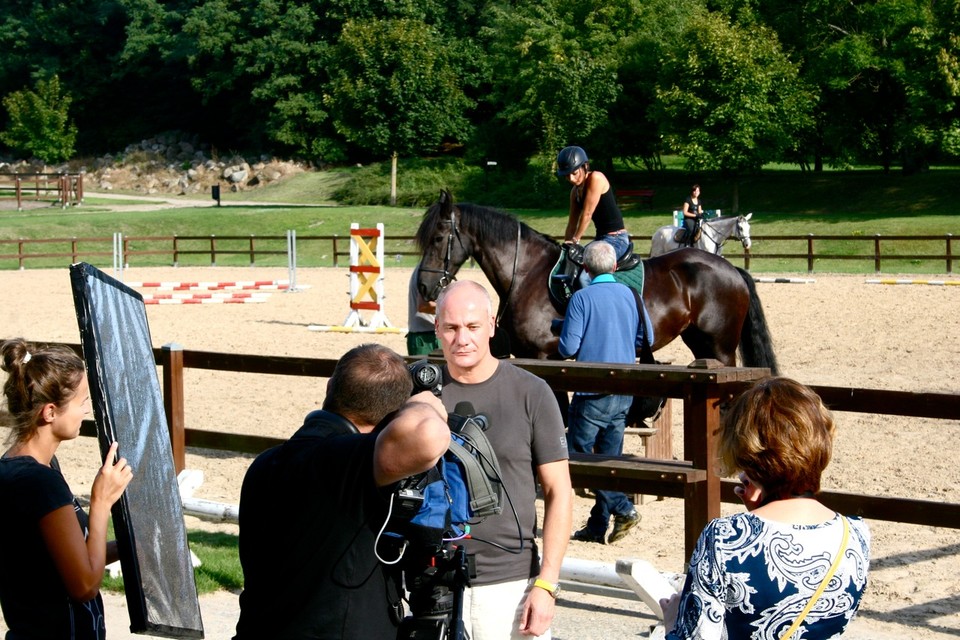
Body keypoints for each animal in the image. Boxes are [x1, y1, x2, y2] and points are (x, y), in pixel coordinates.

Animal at [416, 188, 776, 372]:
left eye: (438, 238)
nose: (423, 286)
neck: (526, 273)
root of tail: (730, 269)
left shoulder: (544, 357)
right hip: (700, 343)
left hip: (721, 348)